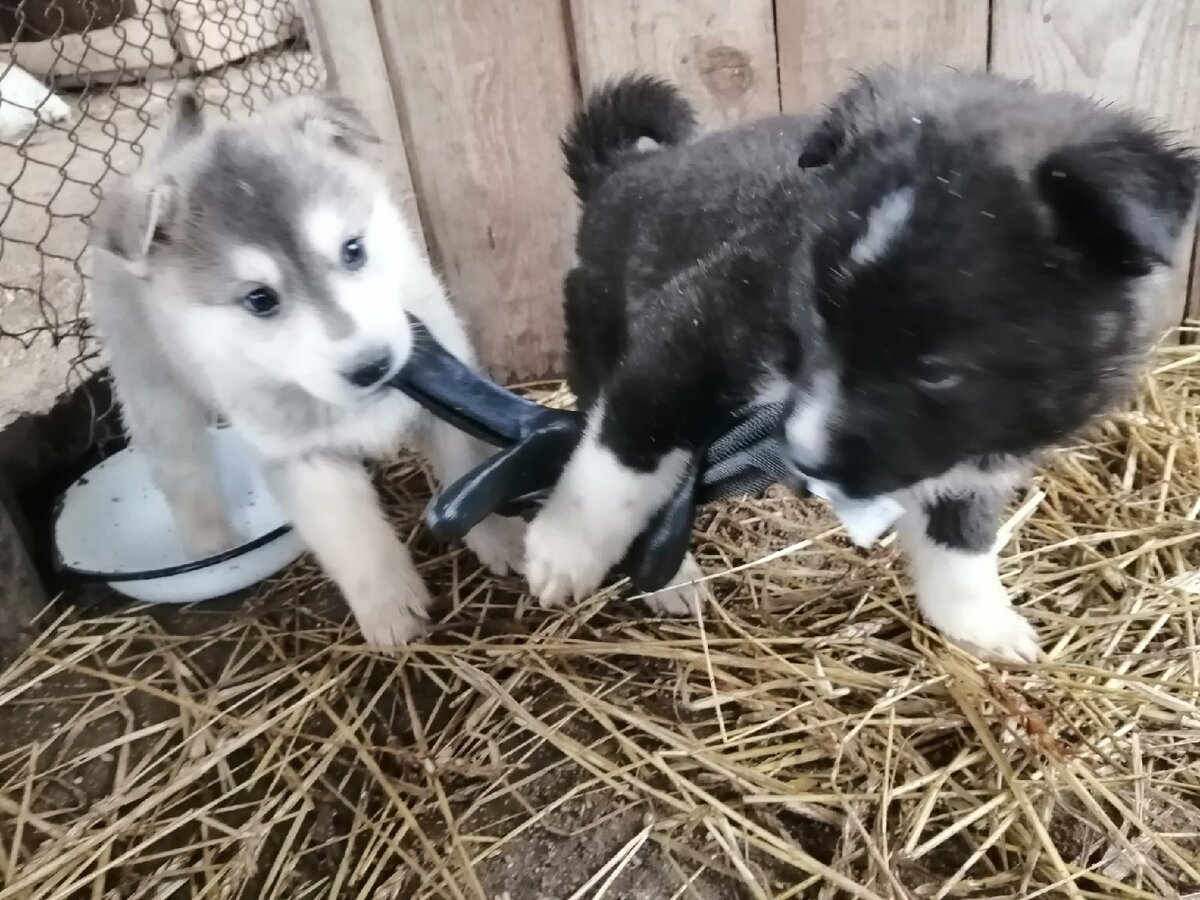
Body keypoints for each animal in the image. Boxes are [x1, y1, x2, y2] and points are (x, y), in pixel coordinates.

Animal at [87, 91, 528, 643]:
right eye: (259, 299)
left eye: (353, 249)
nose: (373, 366)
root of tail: (165, 153)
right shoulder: (303, 458)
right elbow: (356, 541)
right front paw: (391, 612)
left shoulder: (446, 401)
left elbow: (470, 471)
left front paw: (504, 540)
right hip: (155, 395)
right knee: (183, 473)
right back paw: (211, 545)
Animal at [528, 70, 1200, 662]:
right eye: (813, 315)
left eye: (936, 370)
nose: (801, 460)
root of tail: (620, 172)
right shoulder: (688, 335)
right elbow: (621, 458)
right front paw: (563, 549)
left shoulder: (977, 452)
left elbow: (962, 538)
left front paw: (979, 622)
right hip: (597, 333)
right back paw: (670, 578)